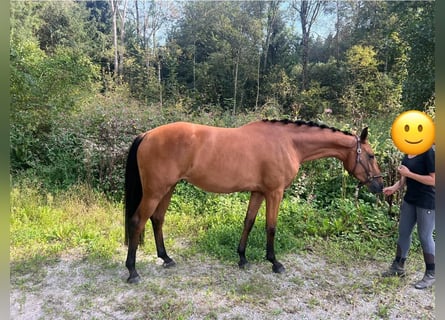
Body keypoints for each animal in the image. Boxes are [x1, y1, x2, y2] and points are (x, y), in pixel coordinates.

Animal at [123, 119, 384, 282]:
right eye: (371, 156)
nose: (380, 186)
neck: (288, 142)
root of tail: (147, 135)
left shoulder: (258, 192)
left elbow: (248, 222)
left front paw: (242, 258)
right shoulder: (275, 192)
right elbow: (271, 227)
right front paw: (275, 263)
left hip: (168, 188)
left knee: (157, 219)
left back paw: (166, 258)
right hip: (155, 191)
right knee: (137, 221)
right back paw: (133, 271)